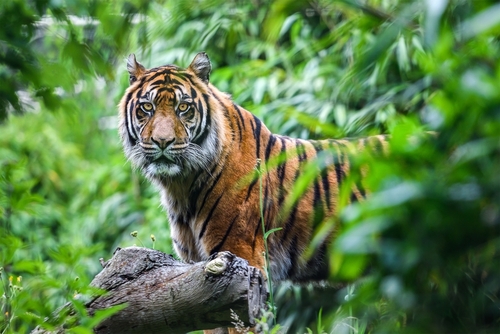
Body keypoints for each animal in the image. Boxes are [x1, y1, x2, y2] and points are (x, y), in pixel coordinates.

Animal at [118, 52, 386, 328]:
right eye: (147, 107)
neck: (181, 184)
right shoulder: (196, 276)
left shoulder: (237, 261)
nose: (163, 141)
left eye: (183, 108)